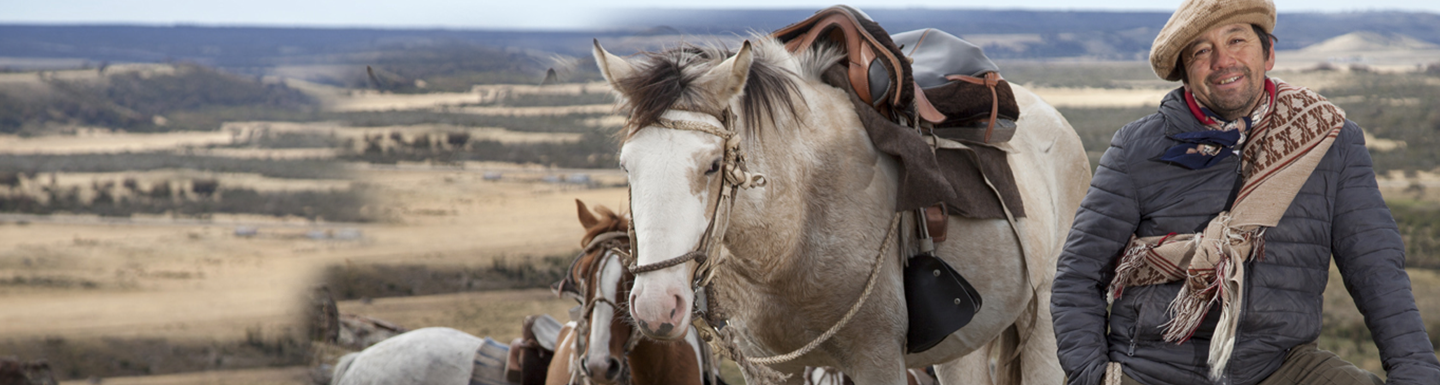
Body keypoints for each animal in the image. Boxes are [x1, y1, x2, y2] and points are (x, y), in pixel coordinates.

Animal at [590, 34, 1082, 383]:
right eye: (627, 165)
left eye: (712, 165)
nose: (657, 307)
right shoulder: (769, 370)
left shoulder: (878, 361)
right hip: (967, 343)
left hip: (1045, 325)